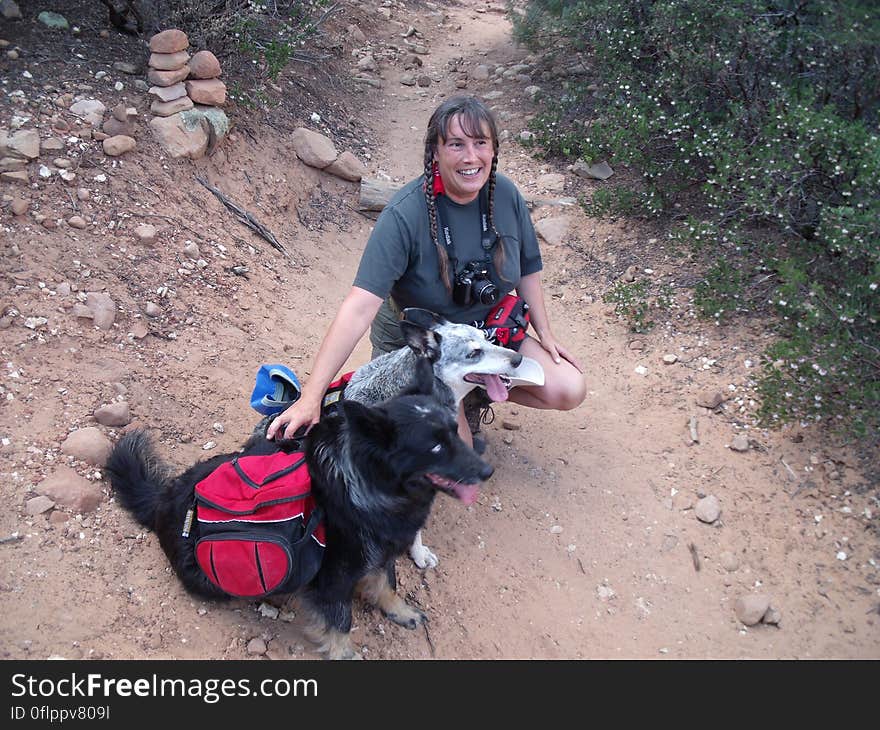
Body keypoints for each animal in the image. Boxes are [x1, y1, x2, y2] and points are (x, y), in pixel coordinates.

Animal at [105, 358, 492, 660]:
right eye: (435, 447)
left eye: (454, 431)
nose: (486, 471)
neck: (372, 486)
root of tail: (163, 500)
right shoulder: (333, 576)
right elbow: (341, 620)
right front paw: (345, 653)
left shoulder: (382, 552)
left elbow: (388, 584)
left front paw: (400, 611)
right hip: (210, 579)